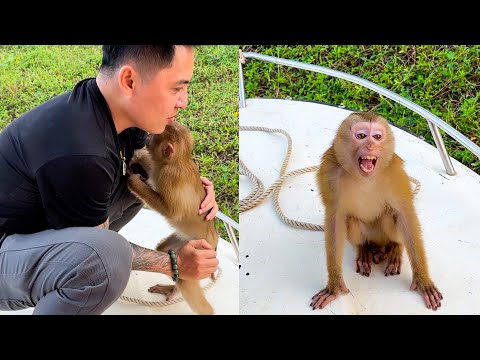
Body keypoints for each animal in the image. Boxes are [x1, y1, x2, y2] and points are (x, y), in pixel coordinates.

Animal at [126, 121, 218, 316]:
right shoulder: (158, 166)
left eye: (152, 138)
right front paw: (138, 156)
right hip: (186, 243)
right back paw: (173, 288)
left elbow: (172, 211)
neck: (179, 161)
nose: (146, 137)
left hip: (201, 248)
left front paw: (133, 181)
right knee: (165, 251)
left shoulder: (168, 175)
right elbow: (150, 165)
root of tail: (214, 242)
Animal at [312, 111, 442, 310]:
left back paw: (395, 249)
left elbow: (405, 214)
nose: (370, 146)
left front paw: (423, 280)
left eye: (377, 137)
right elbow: (335, 219)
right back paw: (364, 249)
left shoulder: (394, 171)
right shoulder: (329, 172)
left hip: (385, 235)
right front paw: (334, 286)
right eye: (361, 135)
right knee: (352, 221)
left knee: (391, 217)